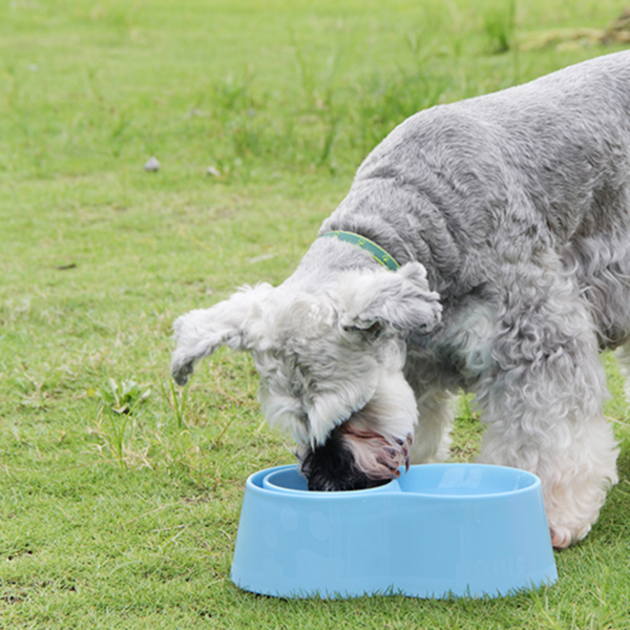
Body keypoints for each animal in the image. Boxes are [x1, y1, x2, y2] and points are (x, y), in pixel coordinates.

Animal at [173, 53, 630, 548]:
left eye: (353, 409)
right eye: (298, 421)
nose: (327, 483)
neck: (424, 212)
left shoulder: (535, 340)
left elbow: (547, 434)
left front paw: (552, 514)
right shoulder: (414, 361)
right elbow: (419, 422)